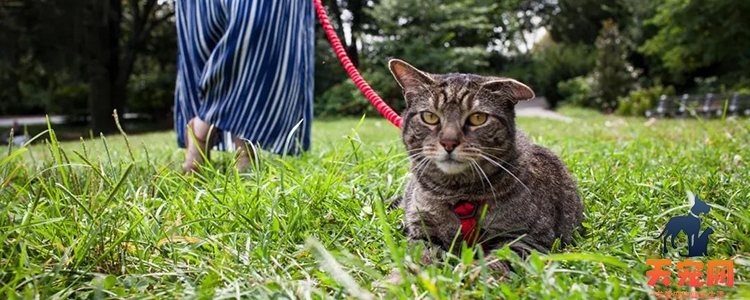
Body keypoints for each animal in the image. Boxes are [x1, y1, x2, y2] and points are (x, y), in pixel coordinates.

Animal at [388, 58, 588, 278]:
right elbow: (419, 257)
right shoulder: (421, 233)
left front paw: (468, 275)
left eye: (478, 118)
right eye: (430, 117)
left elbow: (496, 263)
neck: (460, 196)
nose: (449, 142)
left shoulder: (530, 240)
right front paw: (402, 277)